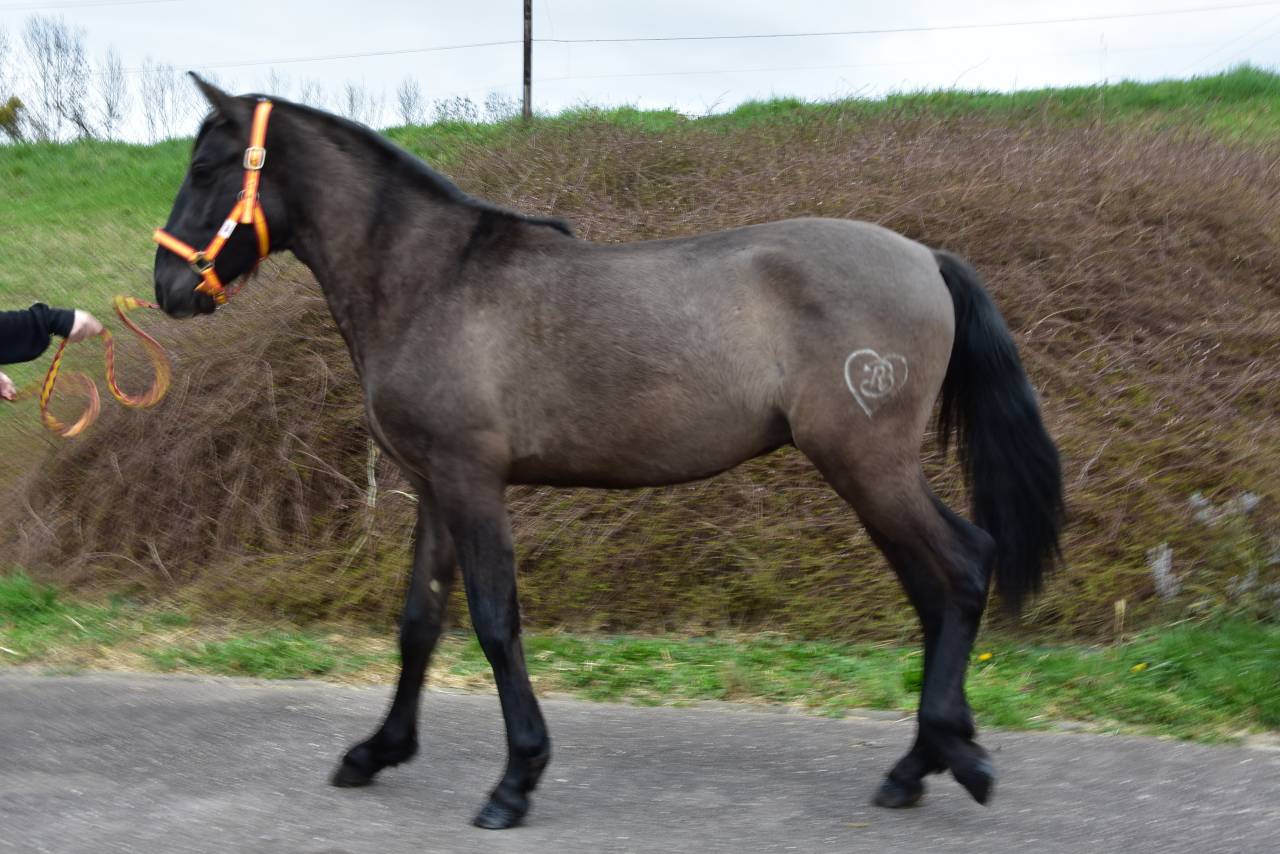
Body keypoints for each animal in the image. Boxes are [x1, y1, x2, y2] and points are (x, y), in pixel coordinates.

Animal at [153, 76, 1063, 830]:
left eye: (205, 164)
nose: (167, 287)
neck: (433, 282)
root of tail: (925, 257)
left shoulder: (471, 481)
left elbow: (494, 622)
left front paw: (515, 780)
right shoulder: (433, 485)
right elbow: (419, 623)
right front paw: (376, 753)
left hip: (867, 465)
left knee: (963, 568)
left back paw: (954, 756)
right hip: (870, 473)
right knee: (935, 592)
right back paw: (920, 764)